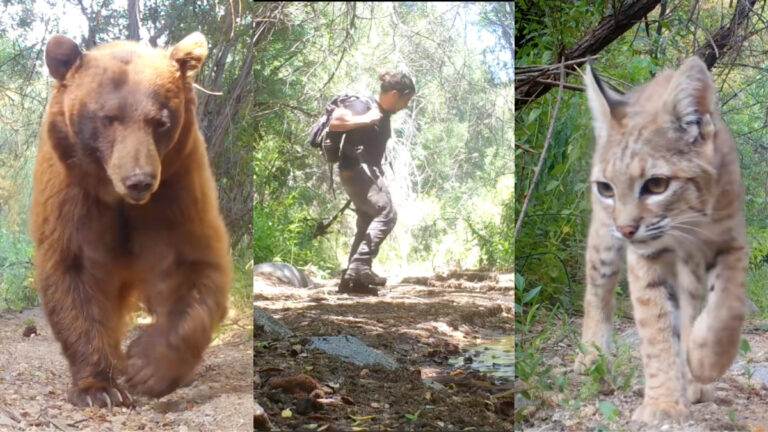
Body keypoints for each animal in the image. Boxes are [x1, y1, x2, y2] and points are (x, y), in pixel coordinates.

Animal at [30, 32, 232, 408]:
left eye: (160, 121)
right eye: (108, 117)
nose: (139, 180)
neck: (118, 200)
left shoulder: (177, 190)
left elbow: (194, 267)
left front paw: (147, 366)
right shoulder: (72, 193)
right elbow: (75, 272)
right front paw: (99, 388)